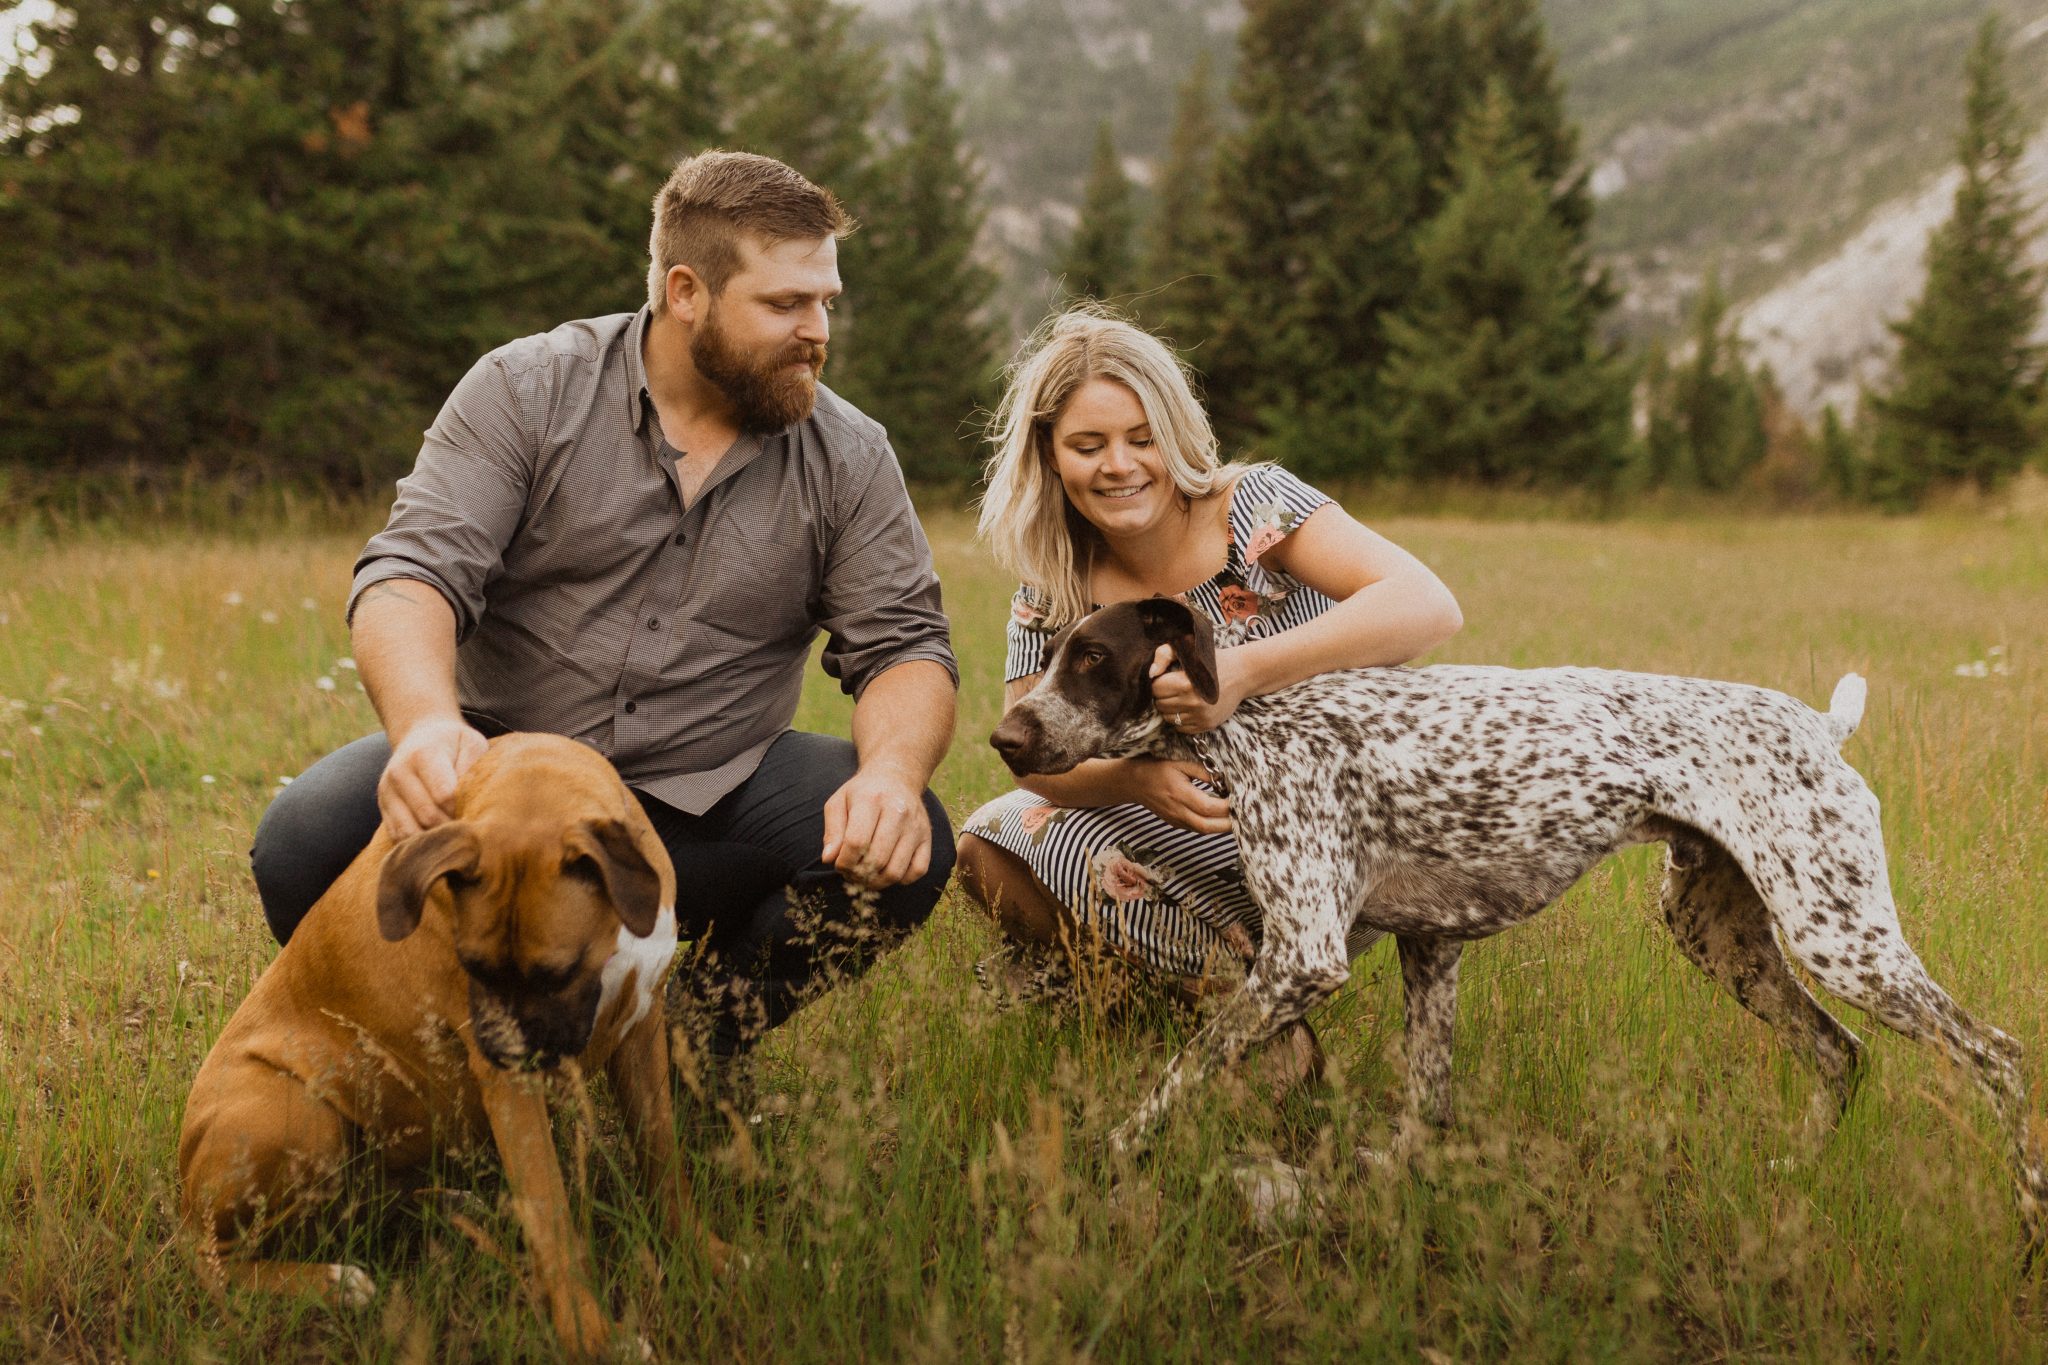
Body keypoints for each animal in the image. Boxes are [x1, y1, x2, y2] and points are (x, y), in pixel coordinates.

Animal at [182, 736, 729, 1358]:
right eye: (474, 967)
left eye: (557, 974)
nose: (497, 1049)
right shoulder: (515, 1091)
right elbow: (551, 1216)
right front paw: (590, 1336)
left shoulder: (641, 1031)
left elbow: (664, 1164)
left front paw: (702, 1255)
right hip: (296, 1114)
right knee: (214, 1260)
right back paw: (332, 1281)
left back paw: (446, 1204)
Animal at [983, 601, 2039, 1268]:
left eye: (1093, 657)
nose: (1005, 738)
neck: (1252, 723)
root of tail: (1821, 727)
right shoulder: (1427, 949)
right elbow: (1424, 1114)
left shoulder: (1301, 959)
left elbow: (1177, 1076)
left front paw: (1113, 1153)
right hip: (1721, 930)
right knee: (1838, 1052)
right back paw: (1798, 1179)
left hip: (1837, 933)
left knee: (1998, 1056)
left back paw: (2030, 1229)